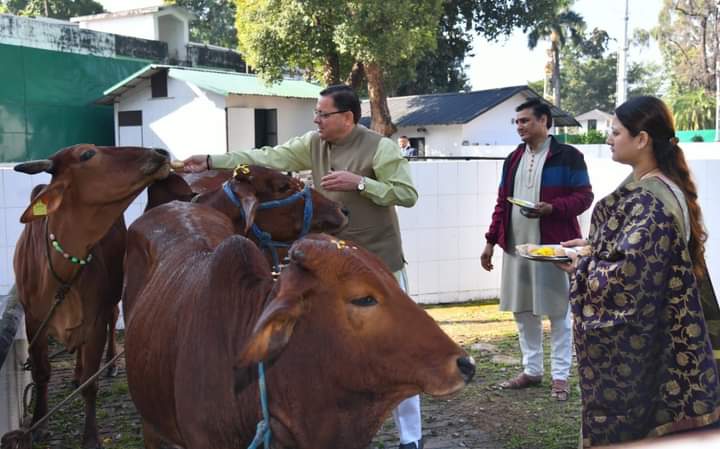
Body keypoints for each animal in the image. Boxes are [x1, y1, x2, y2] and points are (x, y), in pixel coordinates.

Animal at [10, 145, 169, 446]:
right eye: (86, 154)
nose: (161, 152)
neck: (60, 272)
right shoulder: (34, 321)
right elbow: (41, 372)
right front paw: (38, 424)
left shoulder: (94, 322)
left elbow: (90, 383)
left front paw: (91, 437)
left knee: (113, 317)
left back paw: (110, 362)